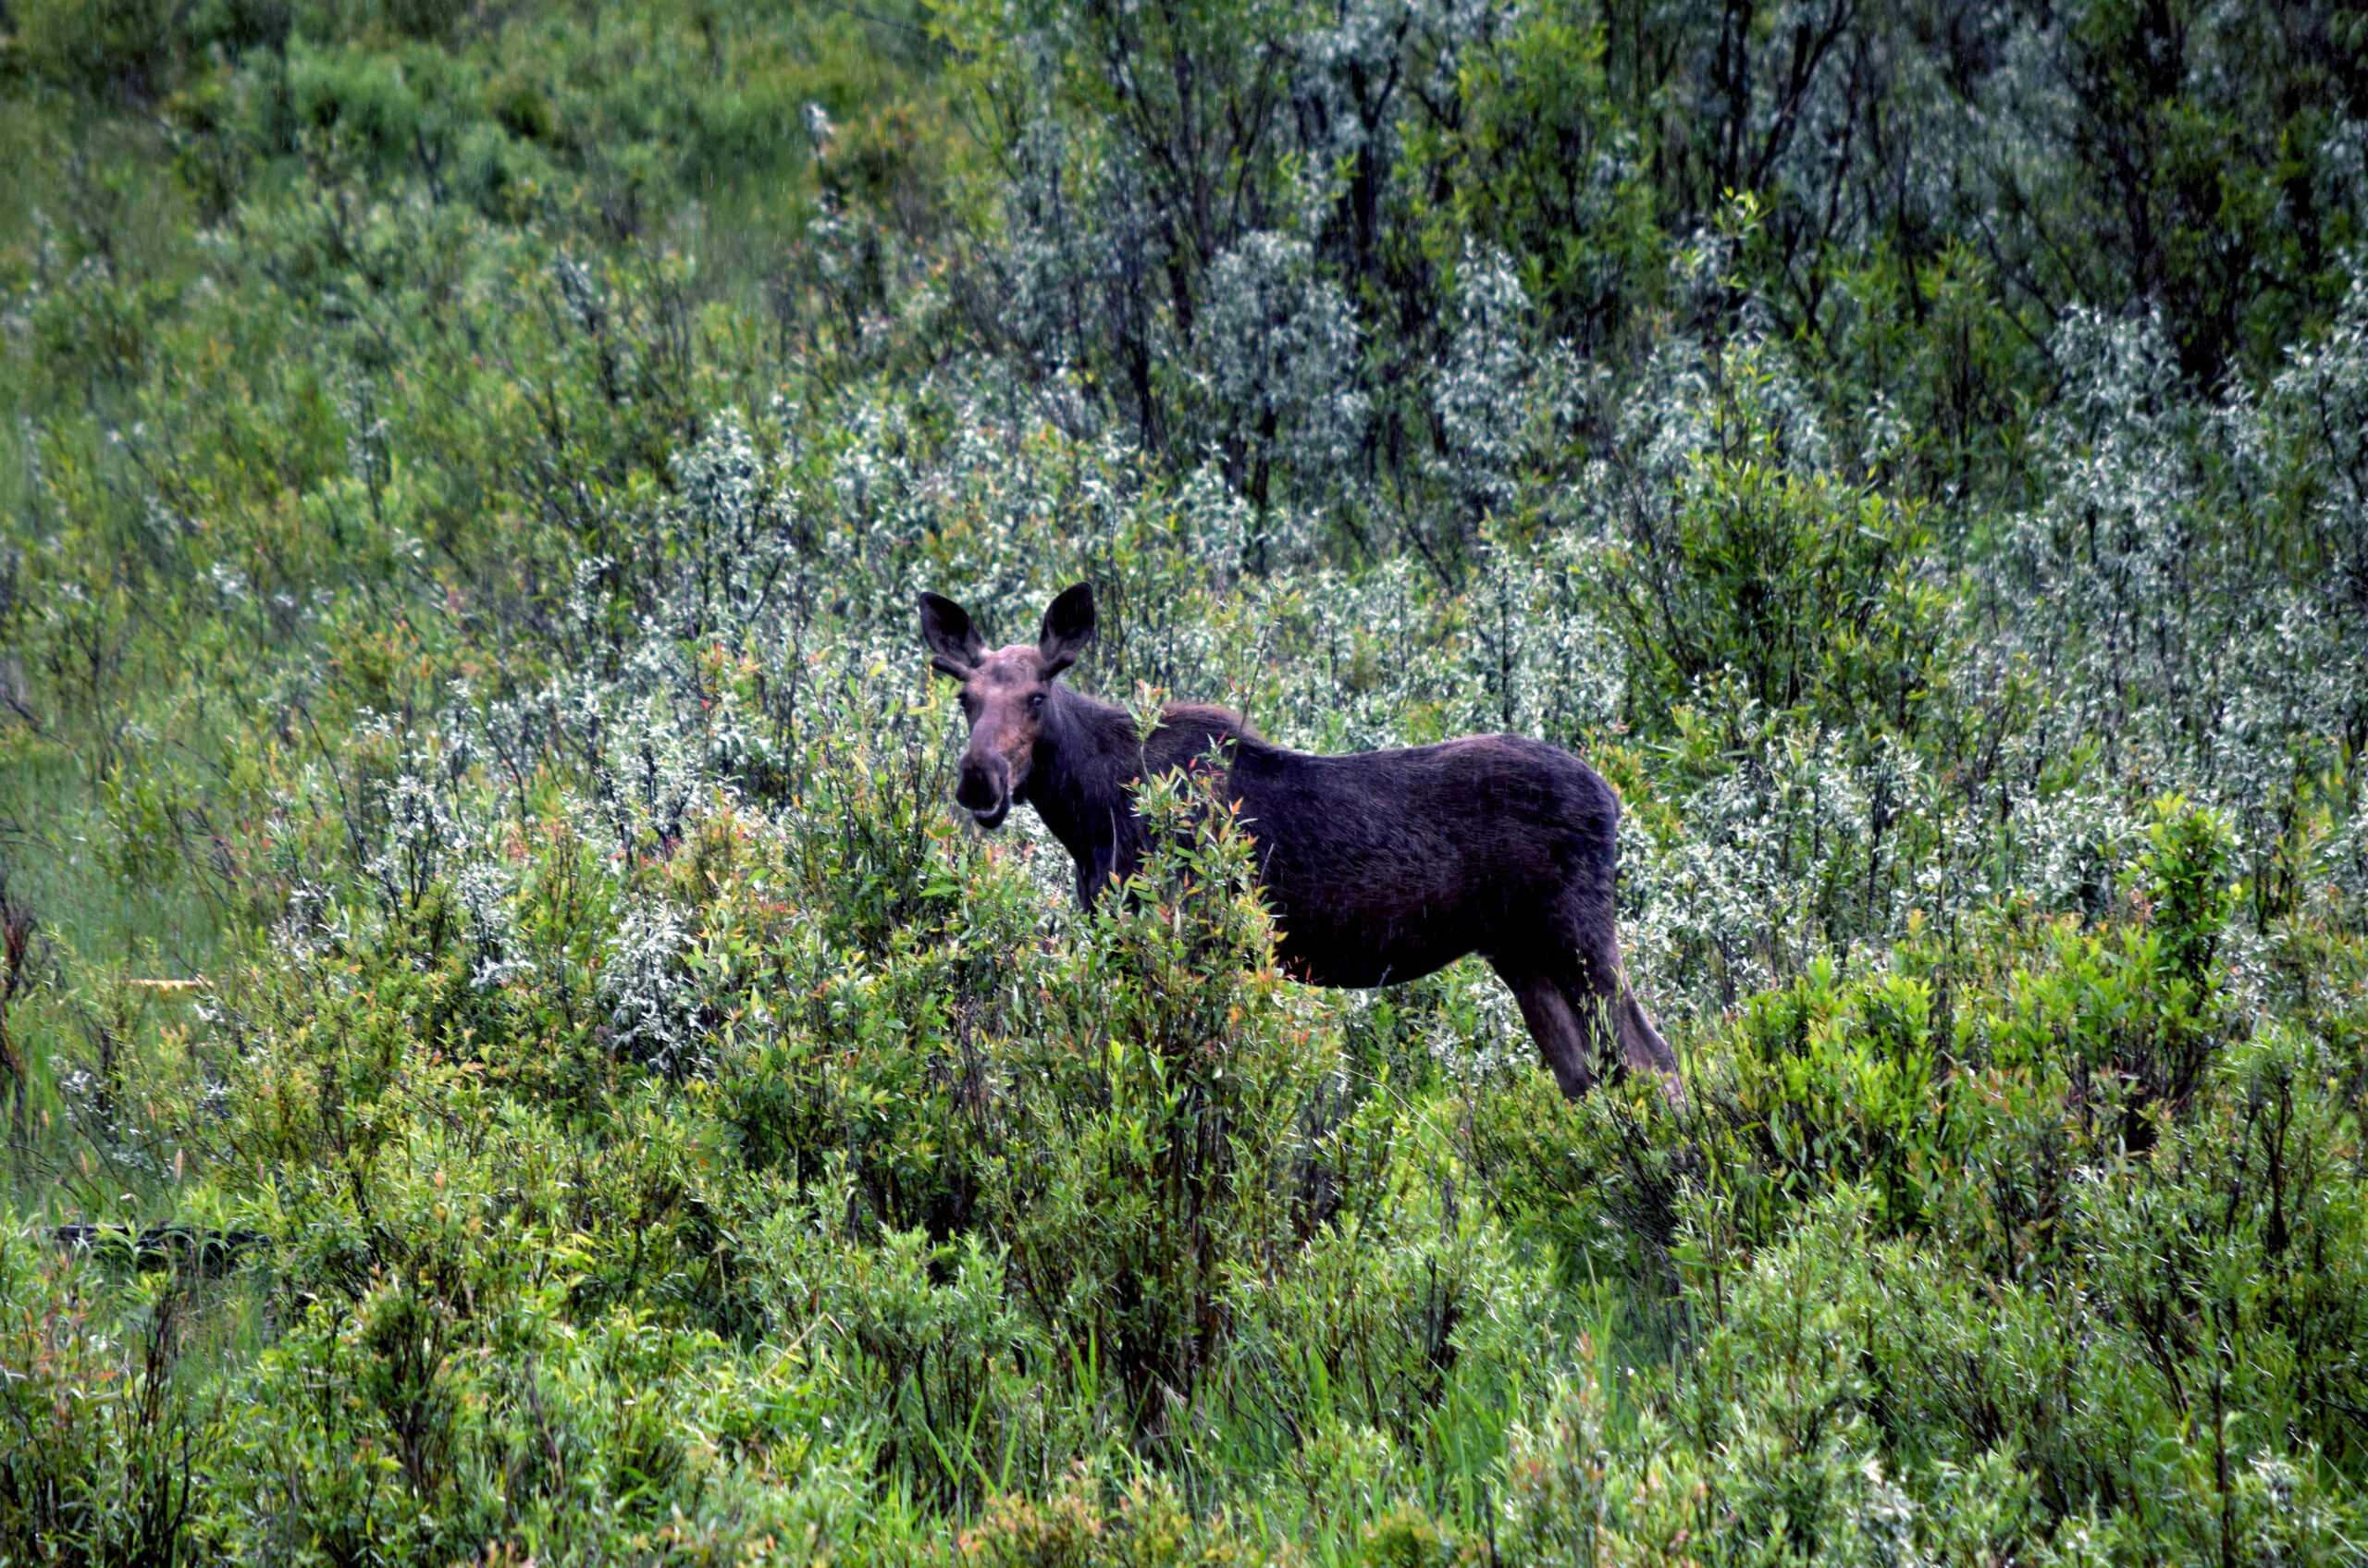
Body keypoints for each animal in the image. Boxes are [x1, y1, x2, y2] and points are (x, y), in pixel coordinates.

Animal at [914, 582, 1676, 1099]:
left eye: (1038, 696)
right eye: (965, 699)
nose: (979, 779)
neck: (1090, 815)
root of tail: (1613, 798)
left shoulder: (1193, 938)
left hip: (1575, 931)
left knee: (1651, 1057)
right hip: (1519, 949)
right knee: (1585, 1072)